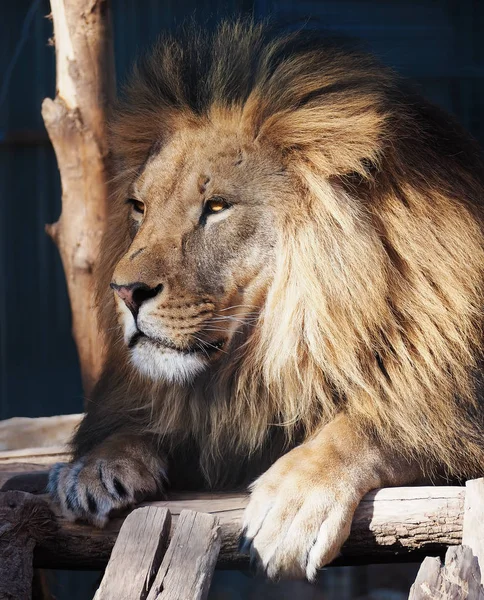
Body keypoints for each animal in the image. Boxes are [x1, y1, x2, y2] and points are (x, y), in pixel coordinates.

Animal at [48, 19, 484, 580]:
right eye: (139, 206)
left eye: (216, 207)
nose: (124, 292)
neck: (266, 357)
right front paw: (94, 466)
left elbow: (378, 421)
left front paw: (292, 502)